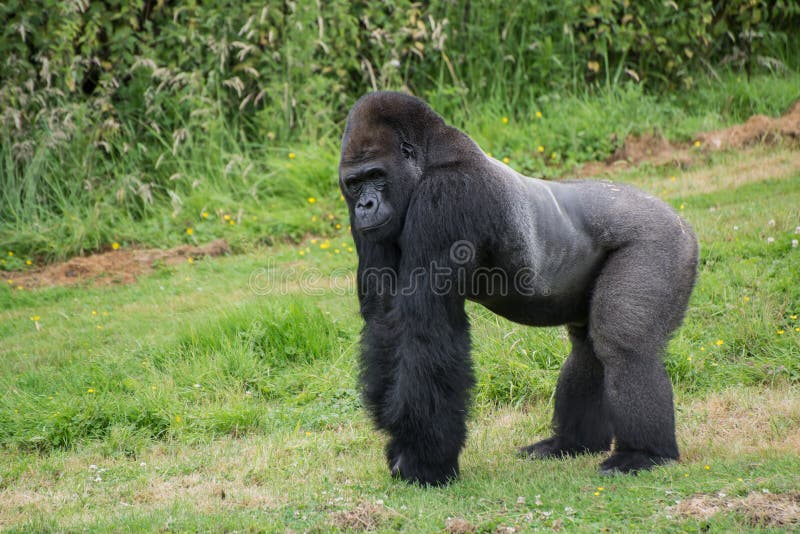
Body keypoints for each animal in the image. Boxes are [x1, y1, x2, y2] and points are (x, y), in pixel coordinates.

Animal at [340, 93, 700, 490]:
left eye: (376, 176)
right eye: (354, 183)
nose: (365, 205)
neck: (429, 157)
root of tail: (680, 219)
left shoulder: (447, 195)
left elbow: (425, 327)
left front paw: (424, 459)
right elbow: (385, 320)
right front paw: (406, 447)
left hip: (660, 240)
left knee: (624, 346)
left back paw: (644, 453)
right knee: (588, 349)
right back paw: (571, 442)